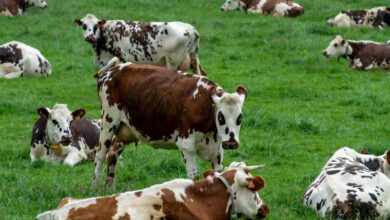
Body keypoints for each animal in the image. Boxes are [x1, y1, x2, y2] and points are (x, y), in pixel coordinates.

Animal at [74, 13, 207, 75]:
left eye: (96, 25)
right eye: (84, 26)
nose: (90, 37)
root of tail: (190, 28)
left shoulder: (121, 59)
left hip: (173, 62)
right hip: (193, 58)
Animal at [92, 62, 247, 187]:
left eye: (239, 118)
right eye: (220, 116)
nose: (231, 142)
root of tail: (112, 71)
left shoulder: (218, 151)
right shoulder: (186, 145)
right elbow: (193, 175)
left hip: (124, 129)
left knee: (113, 154)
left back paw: (109, 187)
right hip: (108, 121)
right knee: (100, 155)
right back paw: (94, 187)